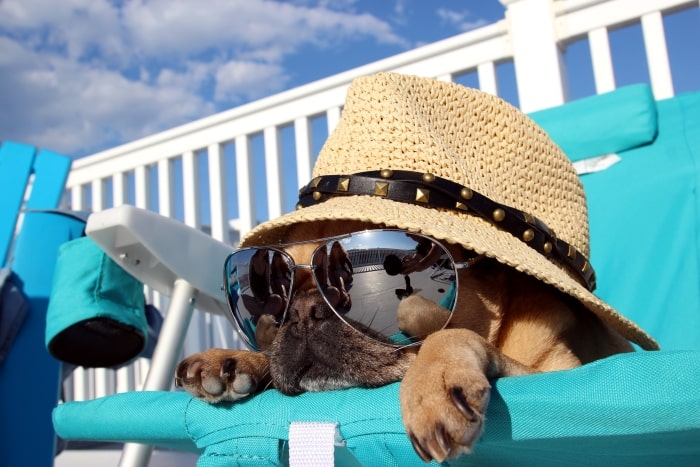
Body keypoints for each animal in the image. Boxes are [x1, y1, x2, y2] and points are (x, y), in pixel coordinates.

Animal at [176, 218, 636, 460]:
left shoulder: (557, 374)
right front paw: (234, 359)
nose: (303, 311)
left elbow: (446, 330)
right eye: (282, 285)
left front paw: (430, 383)